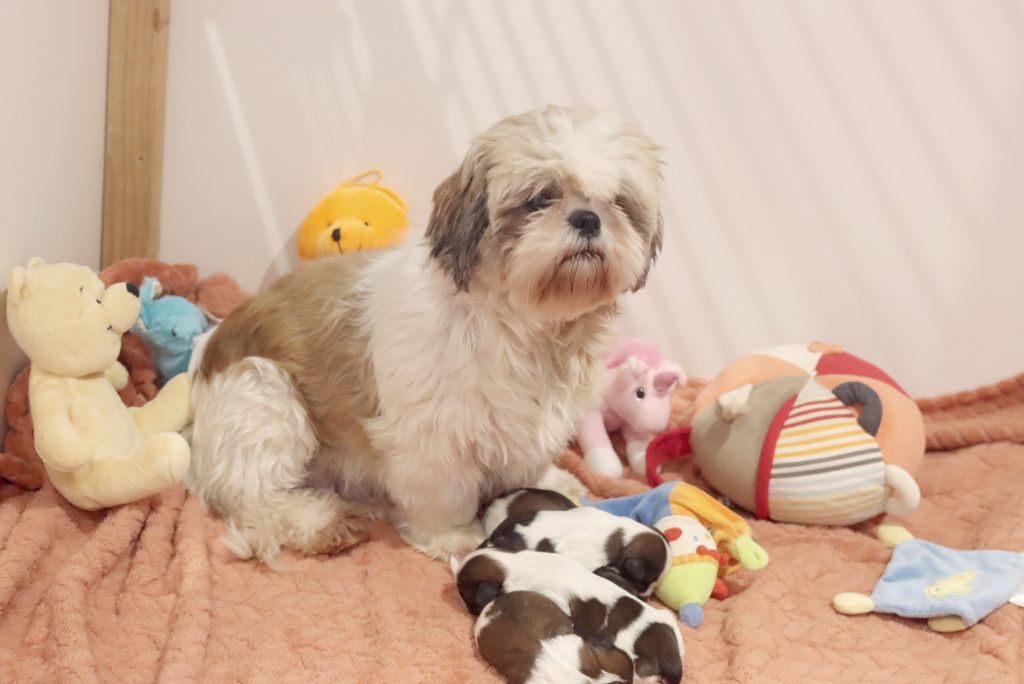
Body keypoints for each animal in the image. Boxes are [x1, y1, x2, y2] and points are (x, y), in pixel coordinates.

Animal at [184, 105, 663, 561]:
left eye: (618, 203)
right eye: (541, 198)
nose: (588, 218)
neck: (522, 325)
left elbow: (528, 465)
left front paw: (548, 482)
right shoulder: (434, 436)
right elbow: (442, 492)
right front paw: (453, 535)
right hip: (263, 398)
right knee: (254, 499)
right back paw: (319, 522)